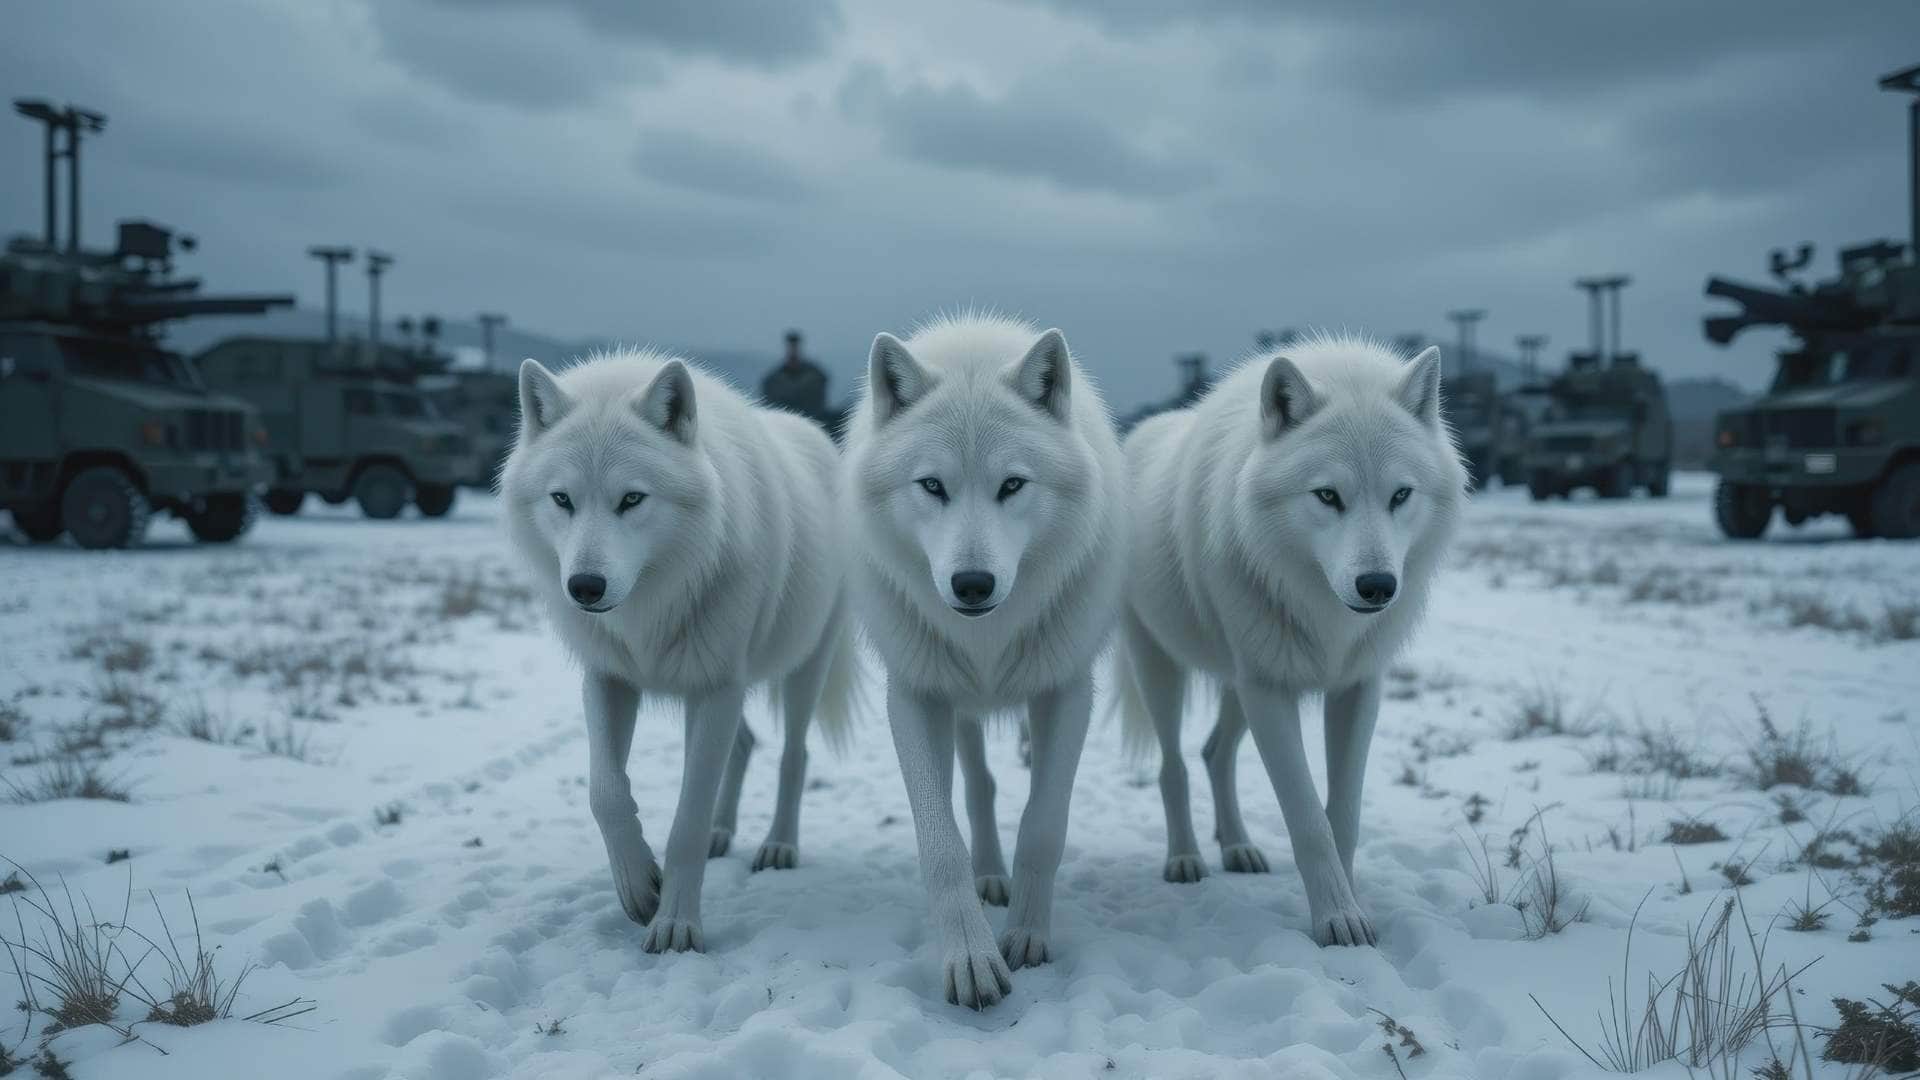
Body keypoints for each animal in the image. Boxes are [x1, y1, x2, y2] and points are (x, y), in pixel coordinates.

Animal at [501, 347, 858, 954]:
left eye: (631, 499)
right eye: (562, 499)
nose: (585, 588)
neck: (652, 603)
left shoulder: (716, 688)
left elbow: (685, 821)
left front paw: (675, 926)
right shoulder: (610, 679)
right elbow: (606, 792)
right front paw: (639, 887)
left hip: (803, 669)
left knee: (795, 753)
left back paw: (778, 846)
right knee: (745, 745)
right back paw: (723, 832)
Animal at [842, 314, 1128, 1009]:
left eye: (1012, 485)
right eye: (932, 485)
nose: (972, 584)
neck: (986, 636)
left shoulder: (1066, 692)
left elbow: (1044, 824)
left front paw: (1025, 936)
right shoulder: (914, 696)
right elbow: (941, 838)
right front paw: (971, 959)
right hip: (957, 707)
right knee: (977, 785)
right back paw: (988, 875)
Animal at [1116, 335, 1464, 947]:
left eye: (1401, 495)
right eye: (1327, 496)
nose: (1378, 586)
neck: (1326, 615)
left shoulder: (1355, 689)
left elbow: (1342, 814)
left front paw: (1352, 905)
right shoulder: (1270, 693)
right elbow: (1308, 821)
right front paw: (1336, 920)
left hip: (1238, 686)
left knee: (1214, 753)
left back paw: (1237, 848)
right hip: (1164, 669)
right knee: (1173, 765)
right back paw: (1185, 859)